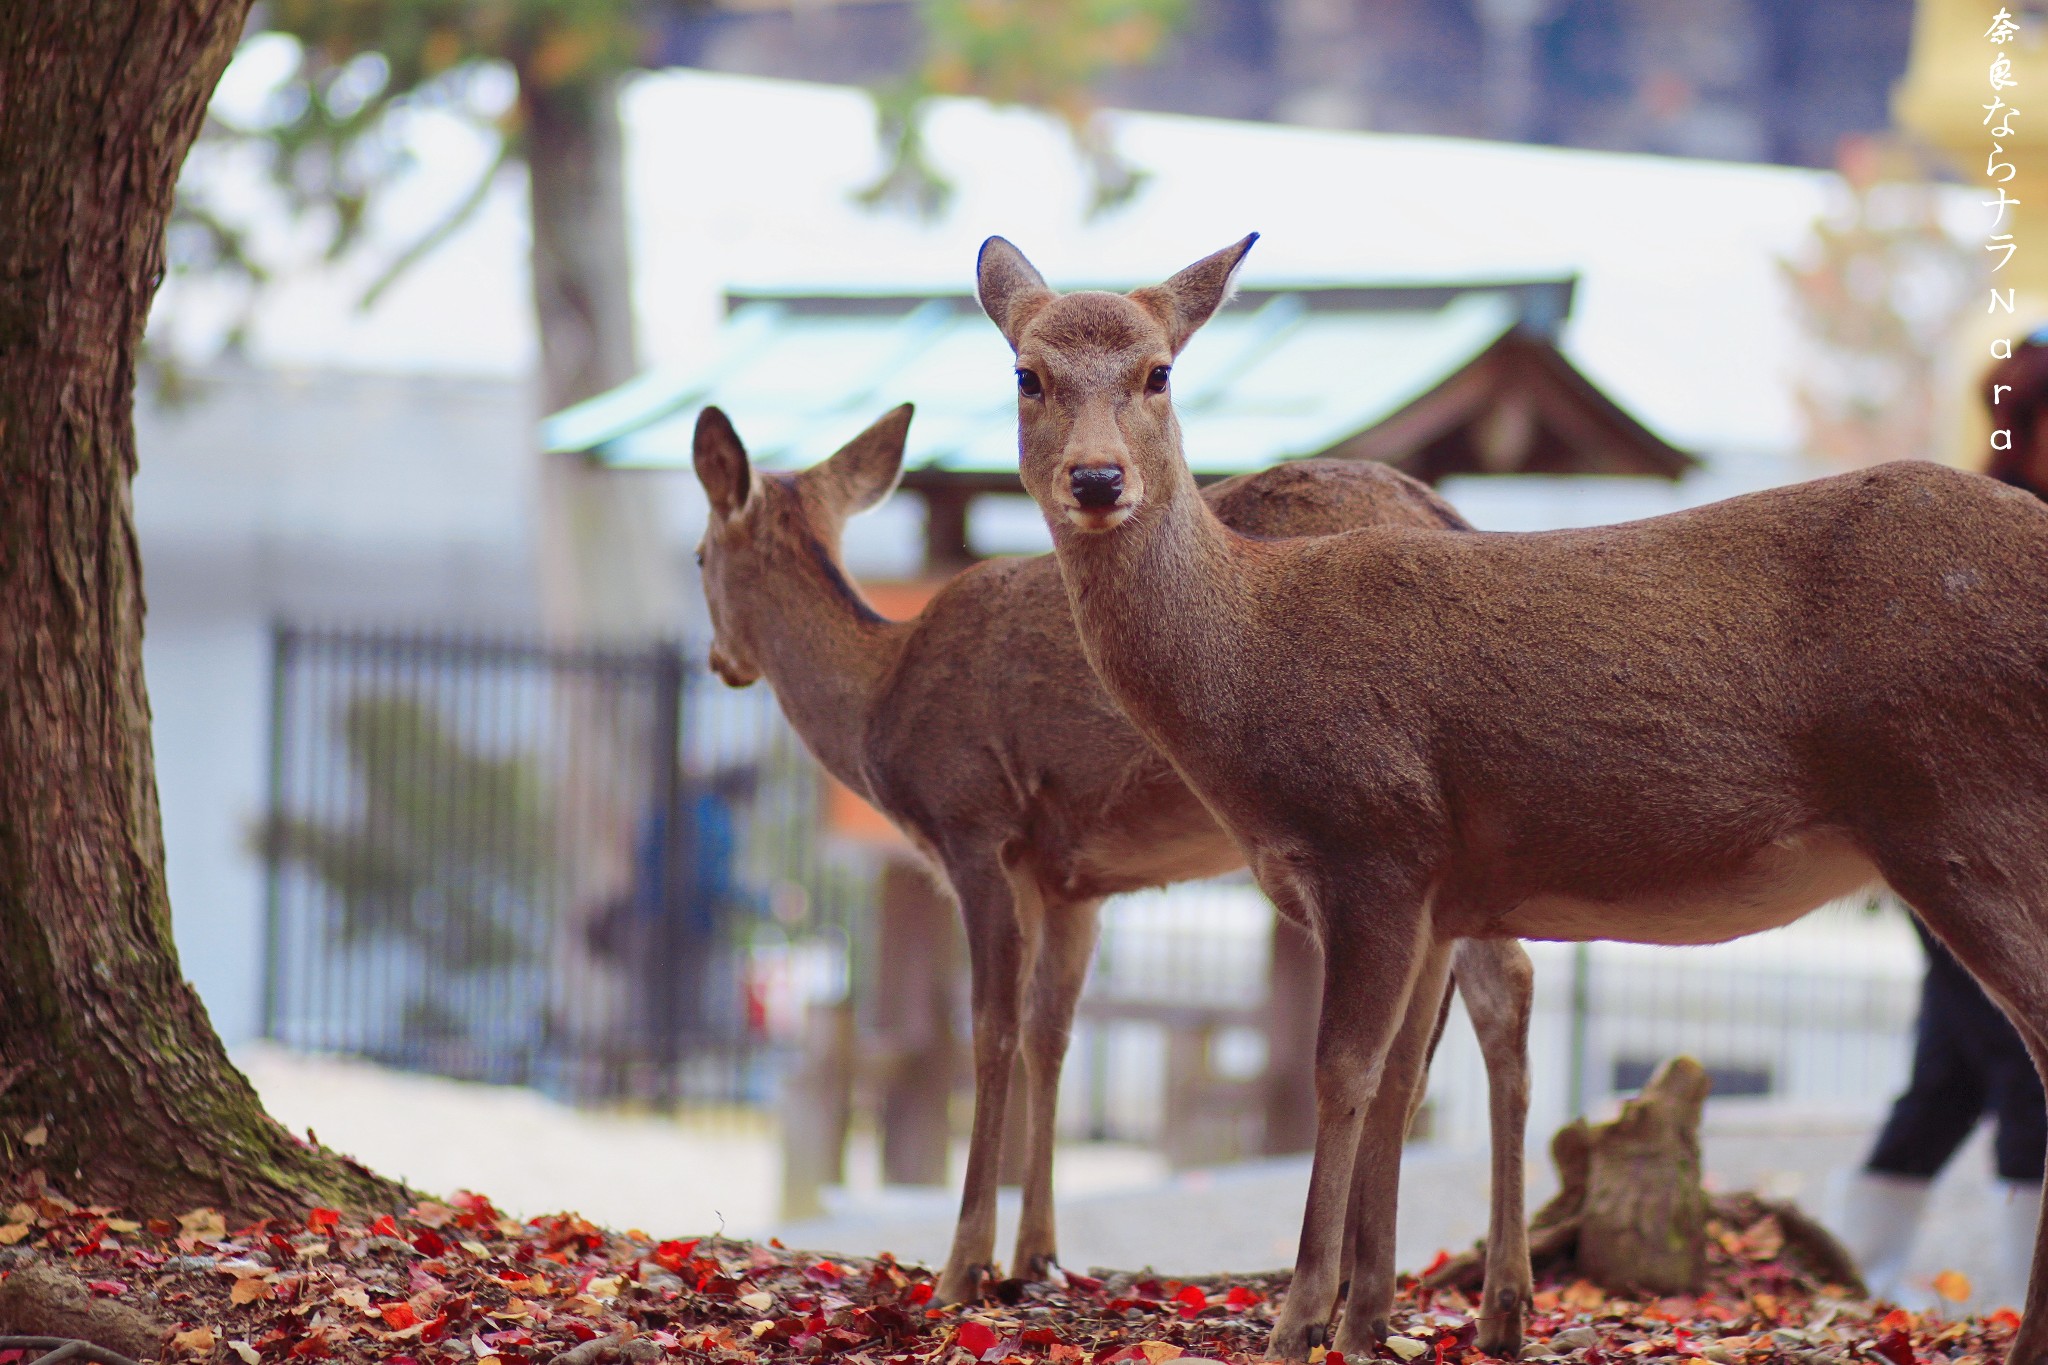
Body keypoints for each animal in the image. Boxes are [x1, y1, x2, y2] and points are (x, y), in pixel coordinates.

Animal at [692, 401, 1540, 1350]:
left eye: (696, 557)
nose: (721, 662)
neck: (880, 699)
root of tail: (1453, 517)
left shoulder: (976, 823)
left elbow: (988, 1031)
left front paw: (961, 1267)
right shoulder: (1074, 880)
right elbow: (1051, 1033)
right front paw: (1038, 1254)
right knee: (1506, 983)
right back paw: (1496, 1302)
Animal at [978, 232, 2048, 1365]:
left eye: (1159, 372)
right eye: (1026, 373)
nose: (1098, 478)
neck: (1250, 661)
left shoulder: (1371, 841)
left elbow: (1342, 1073)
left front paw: (1298, 1321)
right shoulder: (1436, 887)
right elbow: (1403, 1079)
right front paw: (1368, 1319)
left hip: (1956, 806)